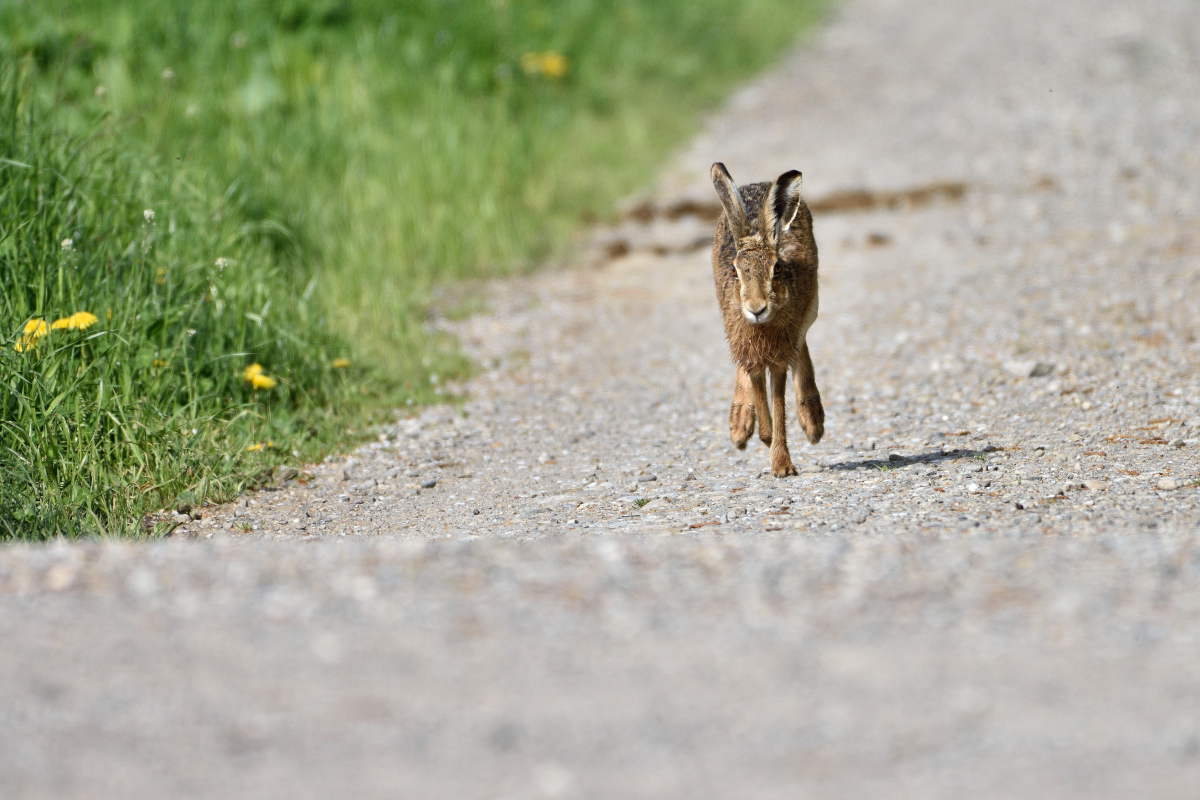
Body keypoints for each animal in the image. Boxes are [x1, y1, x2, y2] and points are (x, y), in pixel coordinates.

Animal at [710, 162, 824, 477]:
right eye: (735, 271)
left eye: (777, 268)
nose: (756, 308)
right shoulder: (750, 350)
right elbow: (758, 389)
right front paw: (764, 433)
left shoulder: (779, 357)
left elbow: (778, 400)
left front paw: (782, 464)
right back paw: (739, 426)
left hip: (811, 309)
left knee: (802, 347)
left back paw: (813, 421)